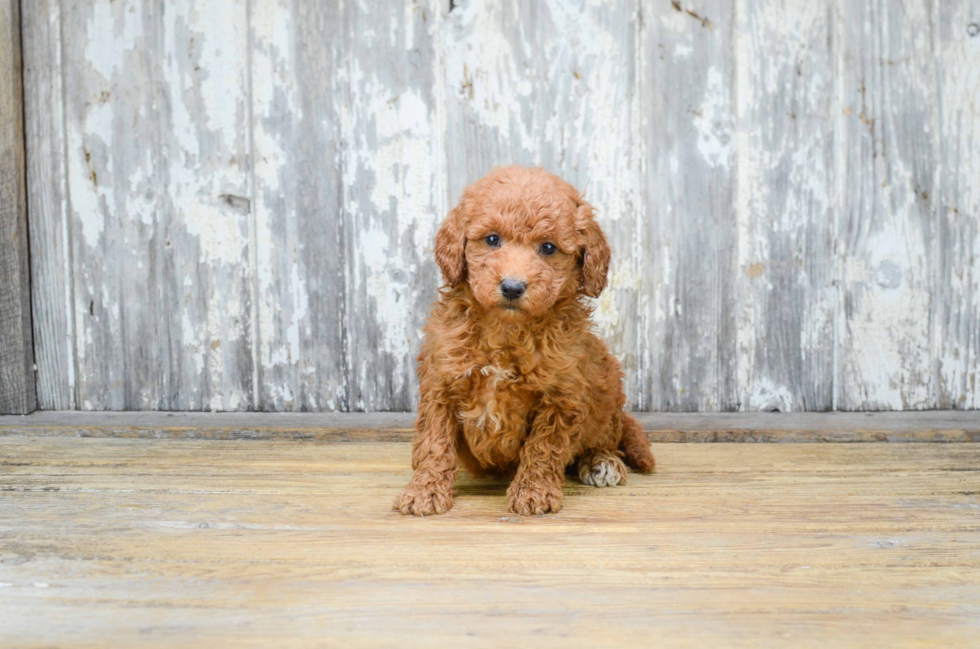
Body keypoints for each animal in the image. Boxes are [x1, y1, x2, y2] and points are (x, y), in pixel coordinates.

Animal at [394, 163, 656, 516]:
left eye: (548, 248)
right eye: (492, 240)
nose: (513, 287)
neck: (507, 329)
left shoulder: (562, 394)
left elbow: (544, 447)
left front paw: (533, 492)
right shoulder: (441, 381)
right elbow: (435, 442)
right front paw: (425, 491)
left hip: (607, 382)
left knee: (605, 435)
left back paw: (601, 461)